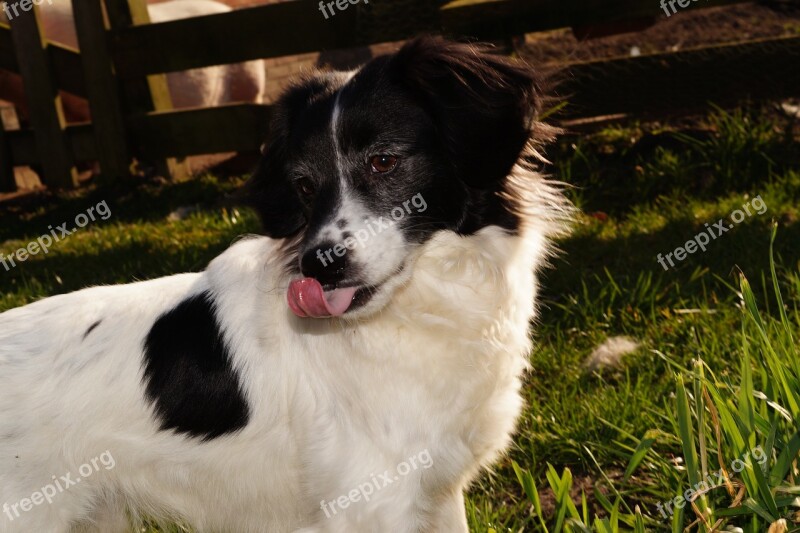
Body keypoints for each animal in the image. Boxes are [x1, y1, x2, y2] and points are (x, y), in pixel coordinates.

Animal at [0, 35, 576, 528]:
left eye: (384, 161)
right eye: (303, 184)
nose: (318, 265)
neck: (415, 311)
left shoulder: (434, 492)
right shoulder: (376, 501)